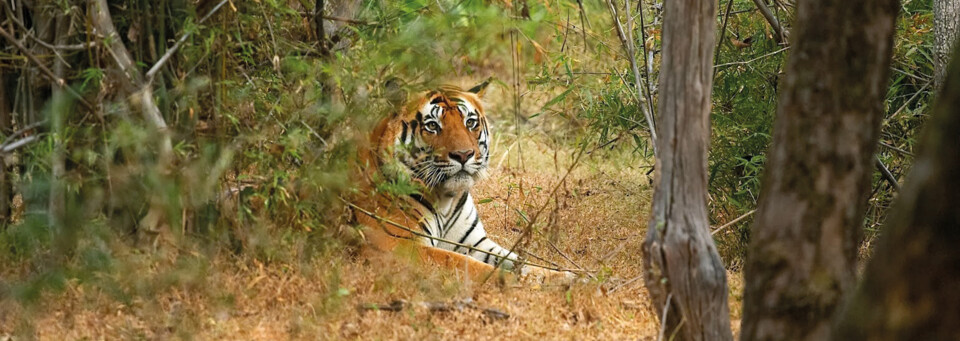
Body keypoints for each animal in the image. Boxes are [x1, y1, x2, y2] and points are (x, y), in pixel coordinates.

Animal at [352, 79, 572, 282]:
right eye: (432, 126)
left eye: (470, 123)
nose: (463, 154)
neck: (445, 200)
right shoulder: (398, 244)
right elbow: (461, 262)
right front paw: (512, 281)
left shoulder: (475, 242)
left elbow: (519, 261)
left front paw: (567, 277)